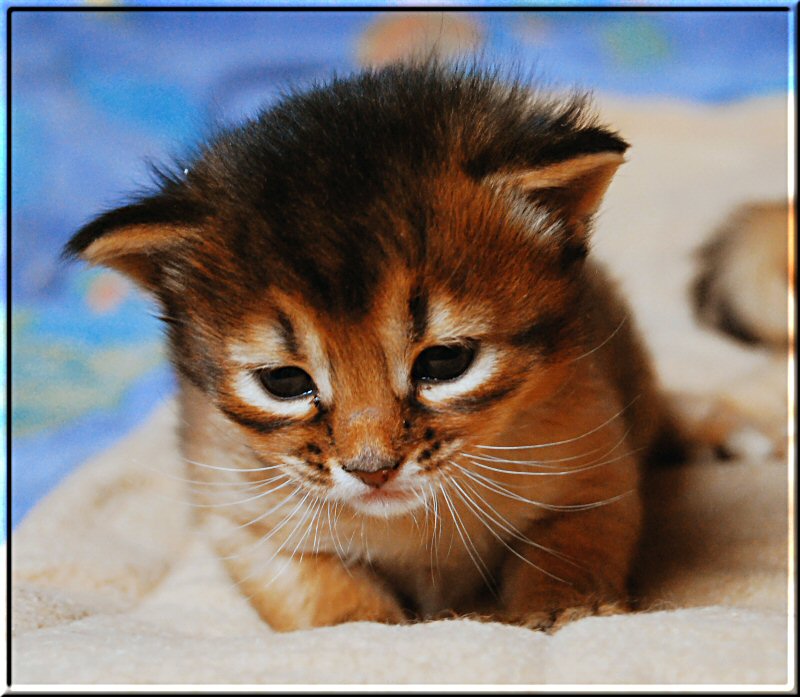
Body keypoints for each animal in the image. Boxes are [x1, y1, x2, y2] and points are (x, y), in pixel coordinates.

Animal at [65, 64, 684, 632]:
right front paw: (362, 628)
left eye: (445, 362)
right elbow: (322, 592)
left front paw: (565, 608)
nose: (373, 471)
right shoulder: (244, 519)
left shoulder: (596, 468)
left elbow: (569, 547)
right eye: (285, 382)